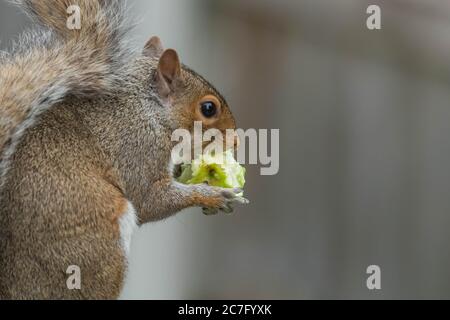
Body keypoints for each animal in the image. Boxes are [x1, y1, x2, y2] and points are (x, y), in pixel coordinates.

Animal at [0, 0, 246, 300]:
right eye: (208, 108)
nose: (236, 142)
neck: (148, 109)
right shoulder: (137, 147)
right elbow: (150, 200)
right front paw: (212, 195)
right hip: (95, 250)